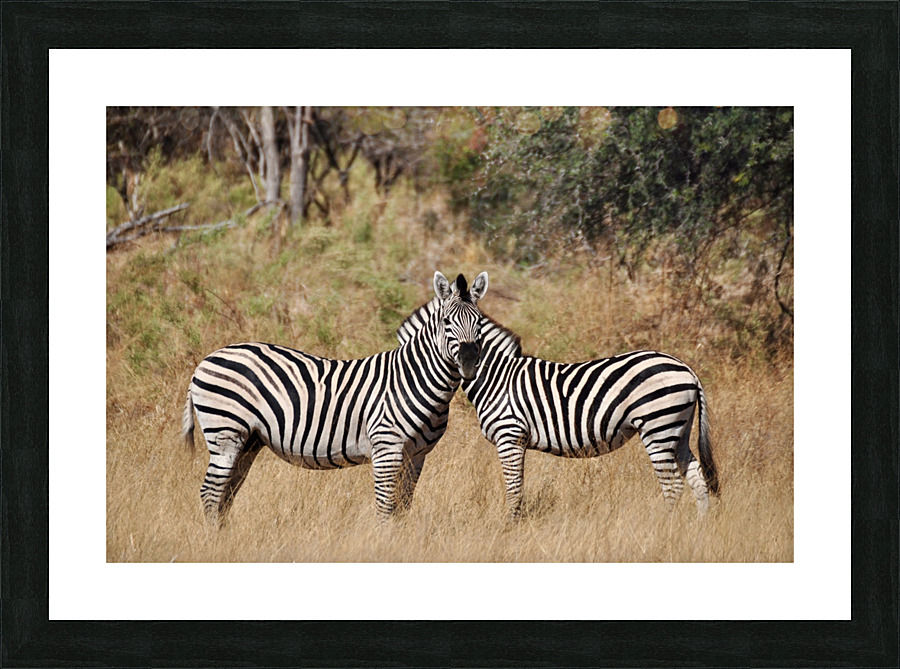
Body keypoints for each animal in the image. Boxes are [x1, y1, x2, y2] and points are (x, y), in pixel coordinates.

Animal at [182, 270, 489, 524]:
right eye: (447, 322)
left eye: (479, 324)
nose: (469, 363)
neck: (415, 378)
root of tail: (206, 360)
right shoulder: (386, 448)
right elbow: (385, 507)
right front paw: (384, 543)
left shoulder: (417, 455)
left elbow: (403, 506)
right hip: (225, 432)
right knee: (210, 493)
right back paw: (214, 540)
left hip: (248, 440)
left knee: (226, 494)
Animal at [397, 299, 719, 520]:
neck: (497, 375)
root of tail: (687, 369)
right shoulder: (516, 440)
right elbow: (518, 485)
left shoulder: (509, 435)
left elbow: (514, 486)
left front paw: (509, 527)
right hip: (677, 429)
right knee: (696, 478)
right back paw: (696, 529)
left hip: (657, 427)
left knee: (673, 485)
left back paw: (664, 527)